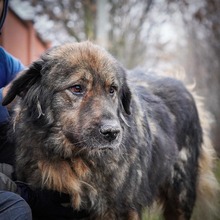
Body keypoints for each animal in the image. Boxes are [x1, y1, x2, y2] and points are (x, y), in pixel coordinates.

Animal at [2, 41, 219, 220]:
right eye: (77, 88)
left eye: (112, 90)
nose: (112, 132)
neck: (75, 159)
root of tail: (185, 86)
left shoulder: (121, 210)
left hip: (181, 196)